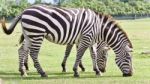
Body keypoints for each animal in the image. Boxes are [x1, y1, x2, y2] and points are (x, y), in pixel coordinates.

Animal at [0, 4, 132, 77]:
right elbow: (79, 54)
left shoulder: (89, 40)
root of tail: (24, 10)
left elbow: (92, 54)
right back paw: (42, 73)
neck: (99, 28)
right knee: (33, 53)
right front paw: (76, 71)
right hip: (37, 34)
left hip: (29, 35)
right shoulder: (85, 38)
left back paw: (23, 71)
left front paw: (96, 71)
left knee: (22, 50)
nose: (131, 74)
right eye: (128, 59)